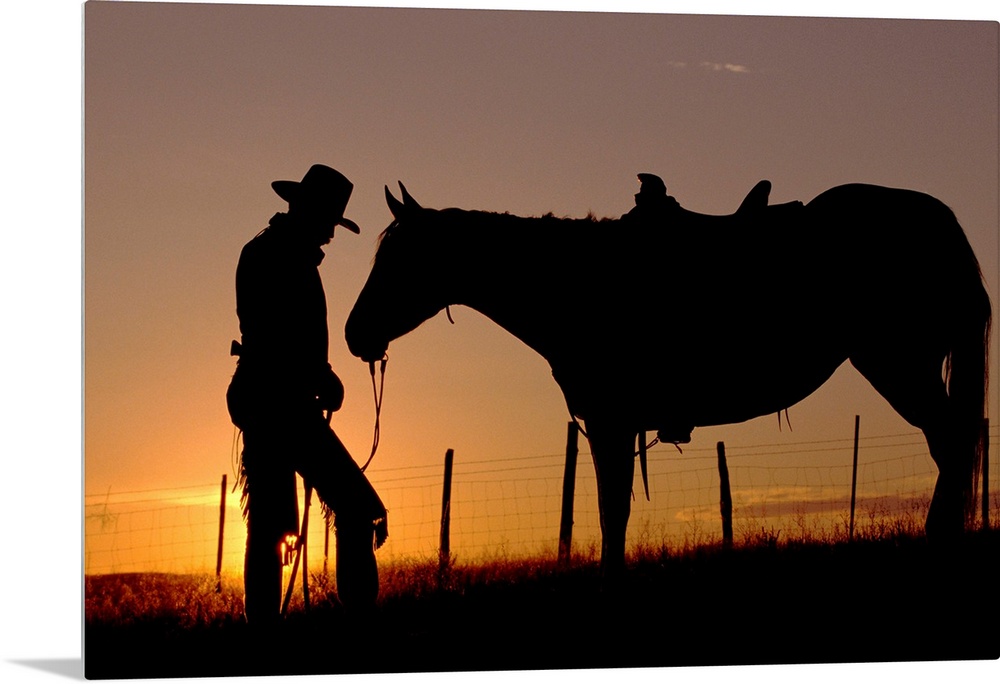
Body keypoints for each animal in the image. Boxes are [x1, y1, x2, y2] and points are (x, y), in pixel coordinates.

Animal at [345, 180, 991, 577]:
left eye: (398, 258)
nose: (353, 335)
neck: (572, 282)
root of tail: (938, 219)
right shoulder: (613, 424)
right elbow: (614, 510)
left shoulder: (611, 422)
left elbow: (611, 511)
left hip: (898, 363)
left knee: (952, 442)